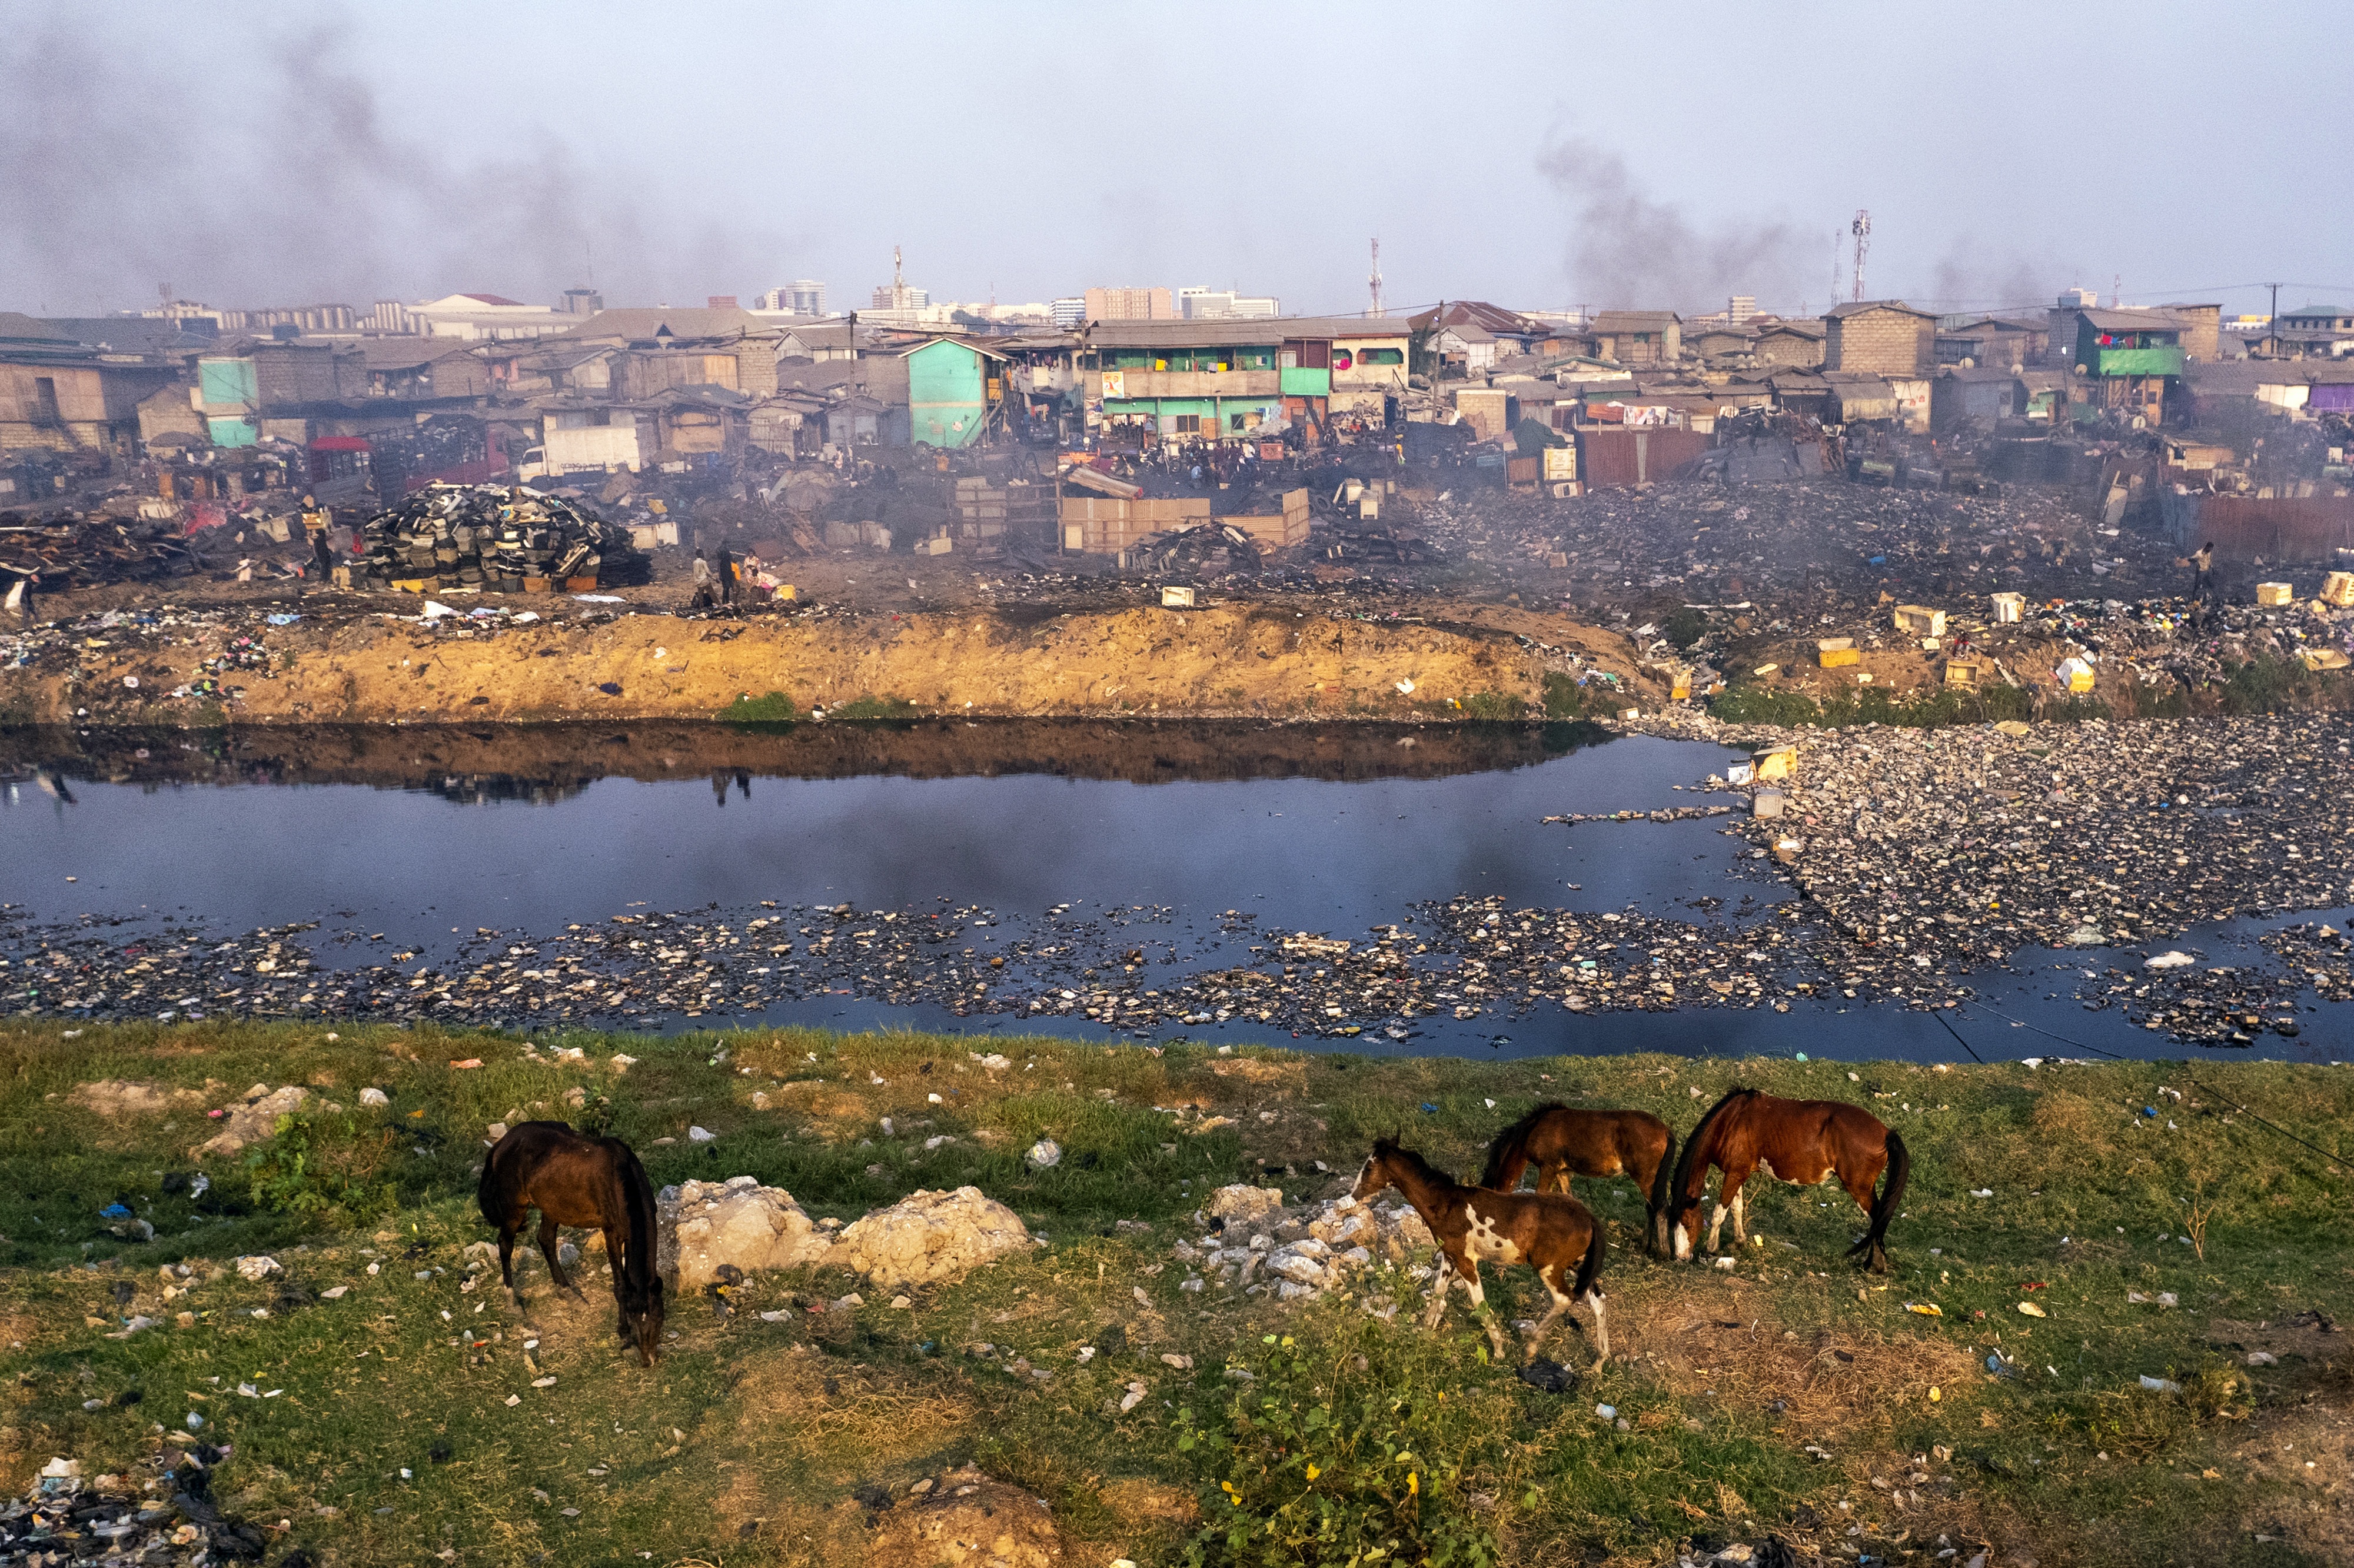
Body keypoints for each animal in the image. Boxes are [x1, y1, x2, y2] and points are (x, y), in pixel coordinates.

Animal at [476, 1116, 669, 1365]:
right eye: (635, 1317)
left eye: (658, 1318)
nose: (648, 1361)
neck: (621, 1179)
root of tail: (502, 1144)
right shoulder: (611, 1233)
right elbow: (621, 1288)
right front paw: (626, 1340)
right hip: (514, 1208)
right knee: (505, 1244)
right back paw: (513, 1301)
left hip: (552, 1205)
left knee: (546, 1240)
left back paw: (568, 1292)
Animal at [1356, 1130, 1610, 1365]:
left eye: (1368, 1168)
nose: (1355, 1193)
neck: (1446, 1205)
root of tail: (1589, 1218)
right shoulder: (1450, 1257)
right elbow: (1439, 1290)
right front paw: (1425, 1331)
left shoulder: (1466, 1261)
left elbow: (1479, 1302)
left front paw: (1498, 1350)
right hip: (1576, 1264)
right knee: (1598, 1298)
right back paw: (1600, 1360)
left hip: (1549, 1268)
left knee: (1565, 1299)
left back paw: (1531, 1347)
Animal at [1478, 1097, 1685, 1261]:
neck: (1532, 1131)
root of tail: (1666, 1131)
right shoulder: (1561, 1171)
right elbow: (1569, 1199)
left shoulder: (1548, 1168)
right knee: (1651, 1208)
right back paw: (1645, 1246)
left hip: (1646, 1177)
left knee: (1660, 1208)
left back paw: (1663, 1253)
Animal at [1667, 1087, 1902, 1271]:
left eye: (1687, 1222)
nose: (1680, 1258)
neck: (1731, 1122)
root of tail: (1886, 1133)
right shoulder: (1736, 1172)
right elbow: (1737, 1208)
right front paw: (1738, 1242)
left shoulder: (1735, 1174)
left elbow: (1719, 1213)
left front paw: (1711, 1249)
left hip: (1859, 1189)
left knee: (1877, 1219)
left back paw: (1876, 1265)